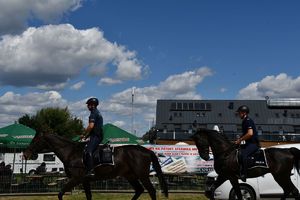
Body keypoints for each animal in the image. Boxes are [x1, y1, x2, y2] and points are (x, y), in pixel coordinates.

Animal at [22, 132, 169, 199]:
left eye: (35, 140)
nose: (25, 153)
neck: (71, 152)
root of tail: (147, 150)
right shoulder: (85, 181)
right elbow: (88, 196)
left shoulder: (76, 179)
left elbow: (60, 194)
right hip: (130, 176)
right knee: (139, 190)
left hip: (142, 176)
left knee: (151, 191)